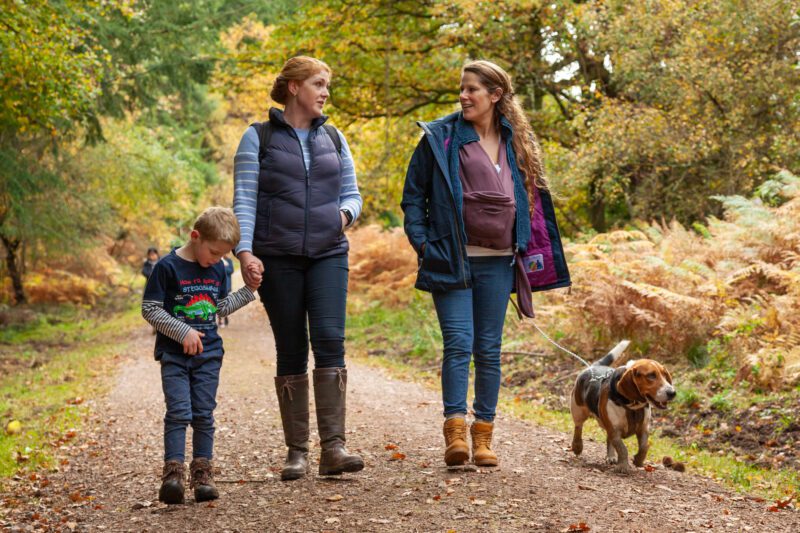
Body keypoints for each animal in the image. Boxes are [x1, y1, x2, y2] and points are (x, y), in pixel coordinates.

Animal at [568, 338, 676, 472]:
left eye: (665, 375)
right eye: (651, 375)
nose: (672, 393)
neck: (632, 407)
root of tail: (593, 366)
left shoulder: (643, 429)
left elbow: (644, 447)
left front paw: (638, 460)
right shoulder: (614, 430)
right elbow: (623, 449)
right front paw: (623, 465)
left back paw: (611, 456)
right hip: (578, 411)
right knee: (578, 428)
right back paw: (577, 446)